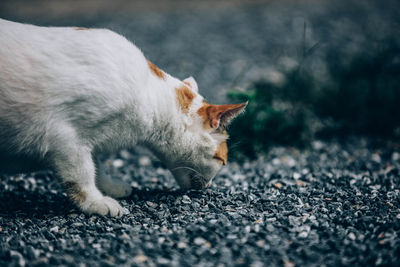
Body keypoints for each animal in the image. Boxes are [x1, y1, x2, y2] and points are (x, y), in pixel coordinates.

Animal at [0, 18, 247, 219]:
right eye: (222, 160)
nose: (209, 187)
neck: (149, 94)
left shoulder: (88, 141)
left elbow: (96, 166)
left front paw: (109, 187)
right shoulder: (66, 138)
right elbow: (82, 173)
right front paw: (95, 202)